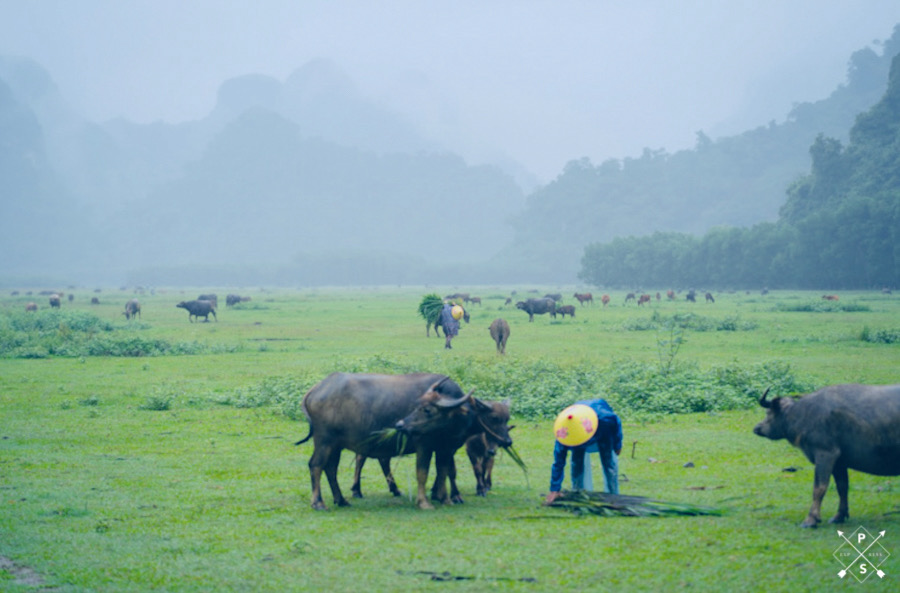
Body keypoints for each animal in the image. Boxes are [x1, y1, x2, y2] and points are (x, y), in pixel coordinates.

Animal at [752, 384, 900, 528]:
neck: (803, 414)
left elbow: (819, 487)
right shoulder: (839, 462)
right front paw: (839, 516)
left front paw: (811, 519)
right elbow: (842, 487)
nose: (756, 428)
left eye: (768, 413)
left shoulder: (825, 454)